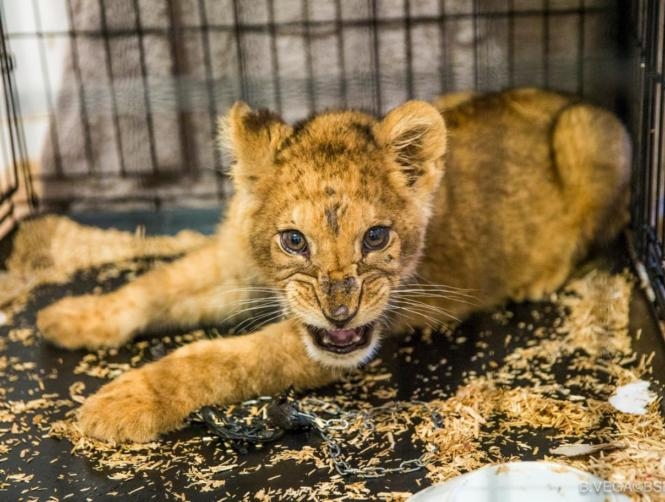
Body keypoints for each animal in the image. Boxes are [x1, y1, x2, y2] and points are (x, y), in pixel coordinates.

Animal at [36, 88, 630, 442]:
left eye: (376, 236)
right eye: (294, 241)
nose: (339, 314)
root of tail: (570, 97)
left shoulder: (329, 347)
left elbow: (216, 359)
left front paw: (124, 401)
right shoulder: (230, 263)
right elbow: (155, 285)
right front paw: (74, 317)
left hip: (592, 134)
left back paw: (539, 278)